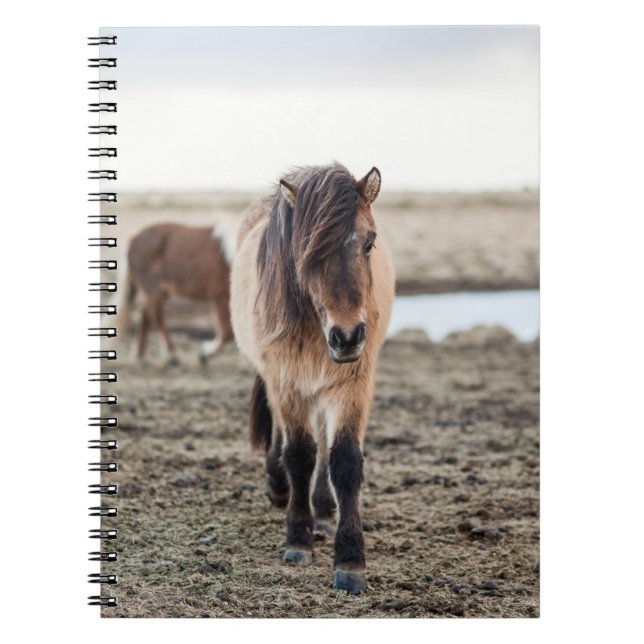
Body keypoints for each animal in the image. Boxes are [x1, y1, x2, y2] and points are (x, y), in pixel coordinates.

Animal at [117, 221, 236, 364]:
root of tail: (133, 240)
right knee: (156, 317)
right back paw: (171, 355)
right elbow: (228, 333)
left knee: (146, 316)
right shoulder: (221, 297)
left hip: (160, 292)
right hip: (153, 290)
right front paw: (204, 354)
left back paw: (140, 356)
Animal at [230, 163, 394, 594]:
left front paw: (351, 560)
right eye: (309, 251)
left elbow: (344, 460)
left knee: (323, 440)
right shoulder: (286, 382)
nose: (348, 336)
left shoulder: (352, 384)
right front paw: (297, 540)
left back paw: (322, 510)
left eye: (369, 243)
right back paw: (280, 487)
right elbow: (300, 455)